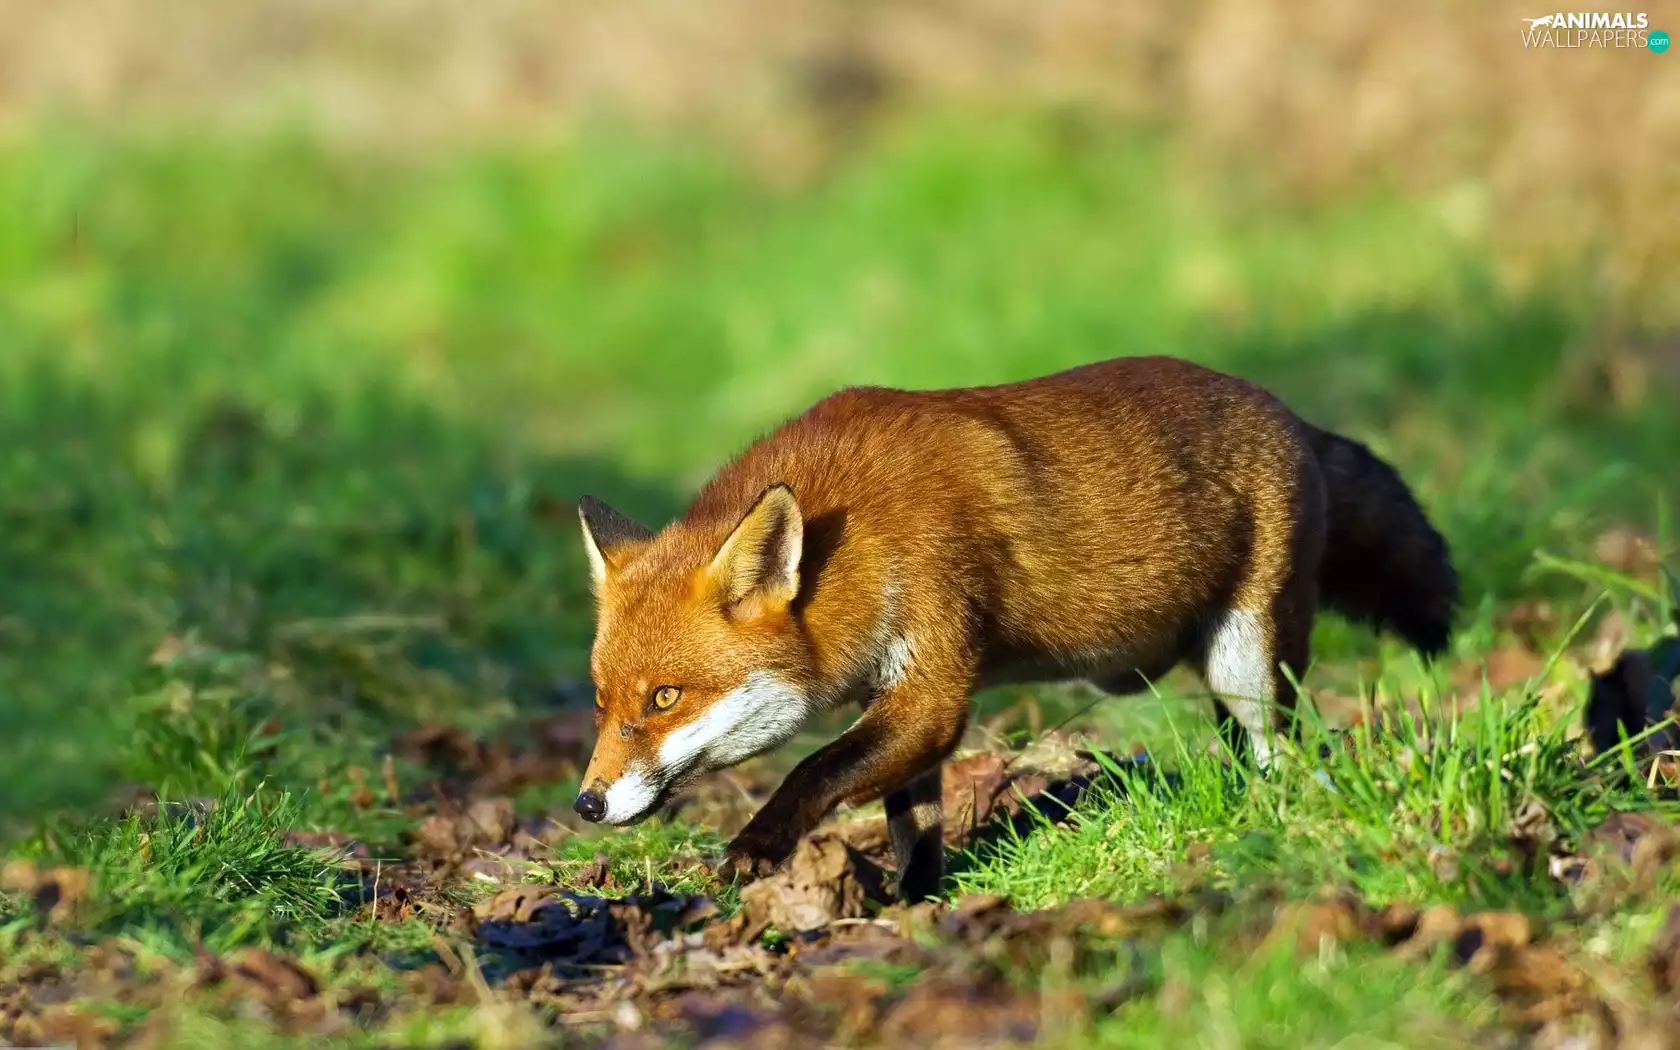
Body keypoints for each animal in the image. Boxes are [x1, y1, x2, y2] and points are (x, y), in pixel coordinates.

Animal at [570, 355, 1458, 901]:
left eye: (665, 698)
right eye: (601, 702)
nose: (586, 805)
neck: (858, 539)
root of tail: (1290, 413)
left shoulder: (933, 684)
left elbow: (813, 770)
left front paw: (758, 847)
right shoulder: (903, 701)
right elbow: (913, 824)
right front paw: (913, 904)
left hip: (1250, 666)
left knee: (1289, 755)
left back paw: (1270, 822)